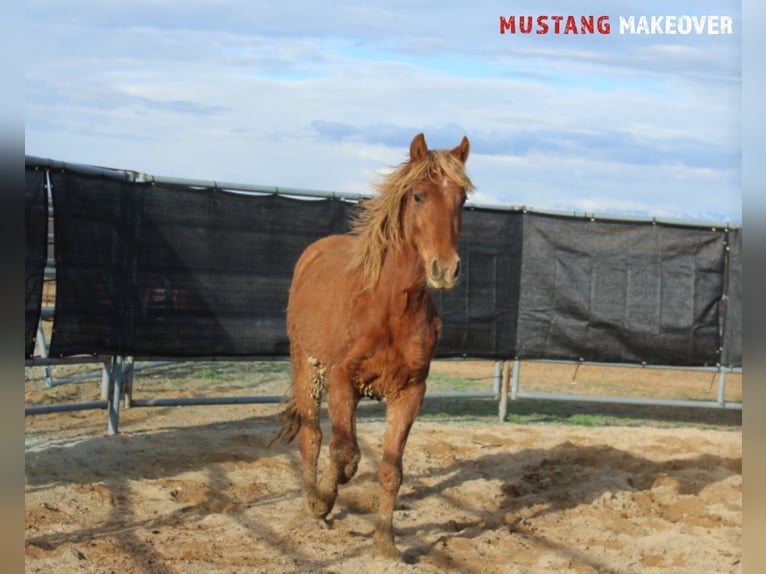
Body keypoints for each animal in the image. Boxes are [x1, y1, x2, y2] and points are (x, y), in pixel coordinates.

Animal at [270, 133, 474, 560]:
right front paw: (323, 500)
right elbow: (344, 451)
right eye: (418, 195)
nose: (445, 269)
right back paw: (313, 505)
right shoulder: (341, 380)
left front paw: (384, 541)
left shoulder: (409, 391)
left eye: (462, 198)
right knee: (313, 437)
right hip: (306, 369)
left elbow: (390, 469)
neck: (389, 307)